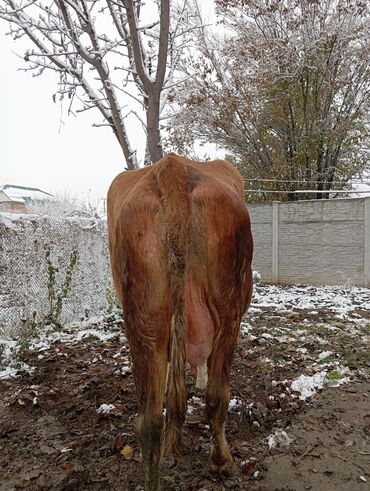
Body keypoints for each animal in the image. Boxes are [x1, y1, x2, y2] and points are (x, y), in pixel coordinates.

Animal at [105, 152, 253, 490]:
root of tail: (172, 168)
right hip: (228, 311)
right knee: (216, 397)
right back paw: (222, 462)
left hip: (144, 322)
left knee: (150, 419)